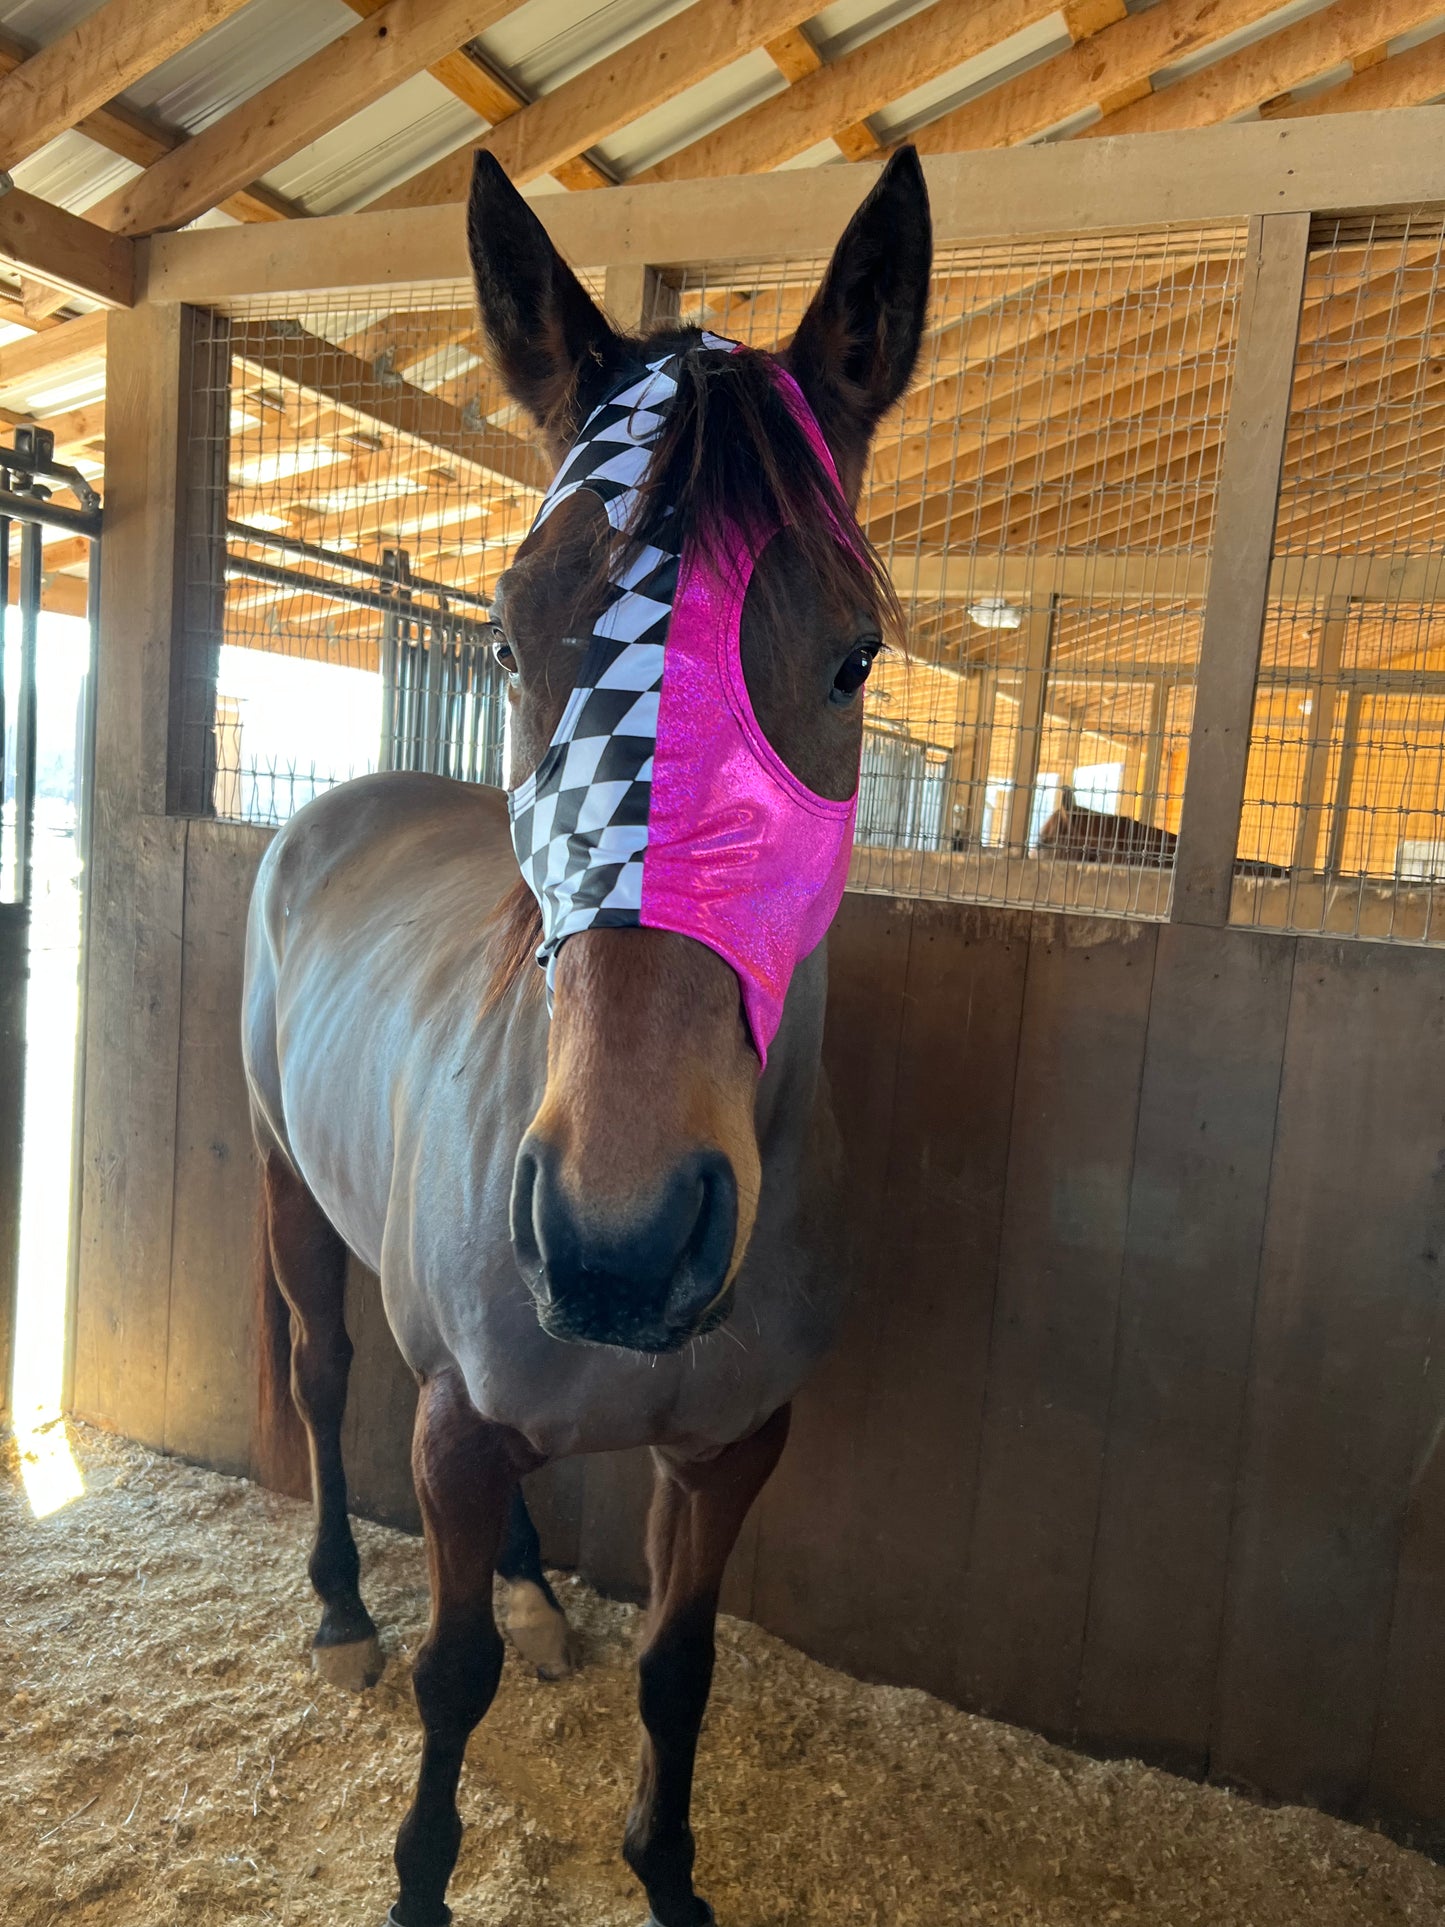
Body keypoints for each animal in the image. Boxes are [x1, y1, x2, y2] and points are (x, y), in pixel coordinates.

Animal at [243, 147, 932, 1927]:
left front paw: (667, 1871)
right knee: (323, 1367)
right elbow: (451, 1676)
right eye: (506, 635)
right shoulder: (449, 1423)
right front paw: (420, 1878)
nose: (616, 1238)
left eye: (853, 654)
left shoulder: (732, 1451)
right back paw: (337, 1607)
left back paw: (546, 1596)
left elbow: (681, 1671)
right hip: (295, 1197)